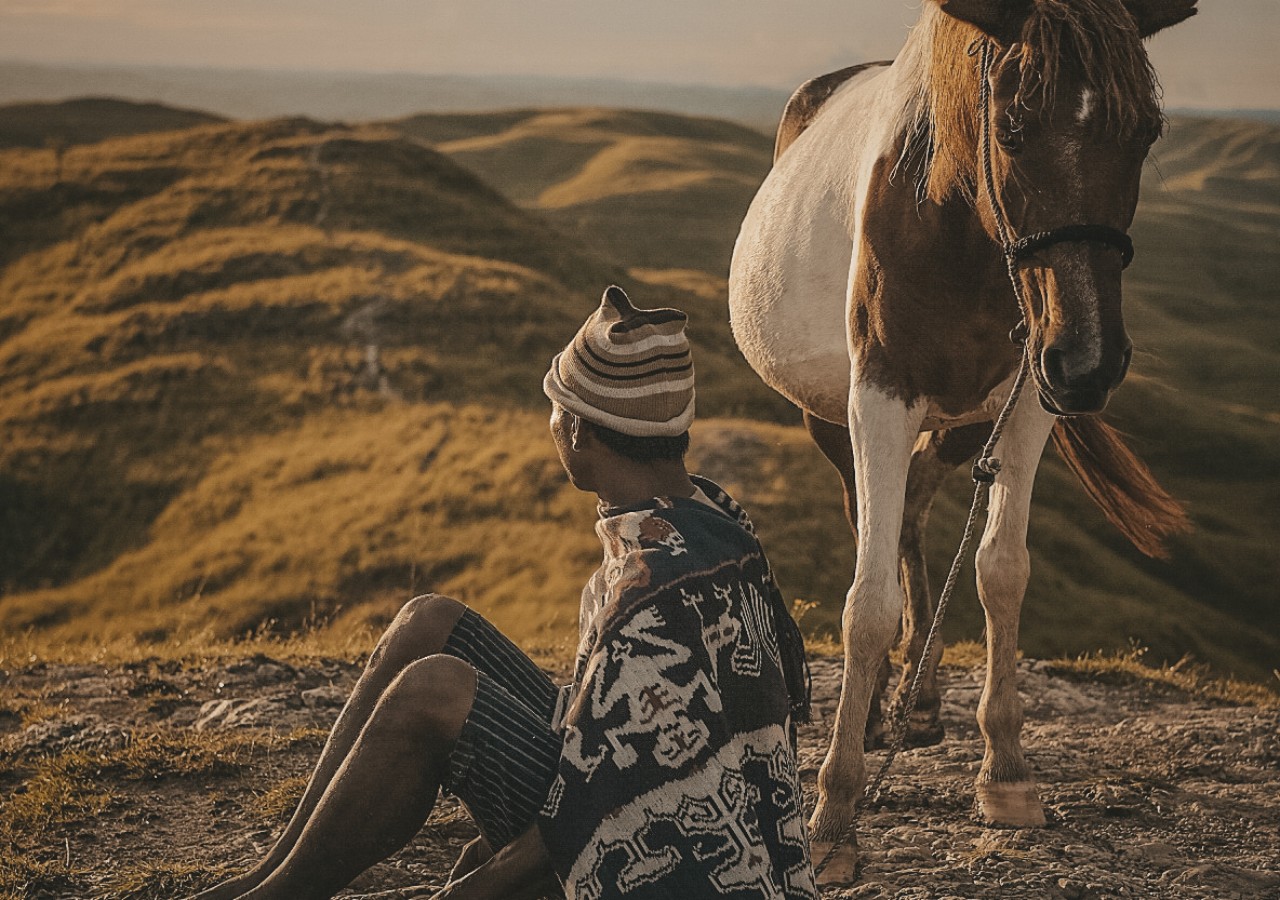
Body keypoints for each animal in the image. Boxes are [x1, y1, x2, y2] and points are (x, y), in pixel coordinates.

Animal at [728, 0, 1196, 883]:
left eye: (1147, 131)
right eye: (1010, 126)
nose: (1089, 359)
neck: (958, 228)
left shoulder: (1029, 403)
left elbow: (1002, 571)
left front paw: (1005, 772)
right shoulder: (878, 395)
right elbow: (866, 603)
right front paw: (835, 813)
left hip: (969, 420)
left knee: (913, 503)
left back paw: (916, 699)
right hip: (832, 416)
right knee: (874, 519)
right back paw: (886, 704)